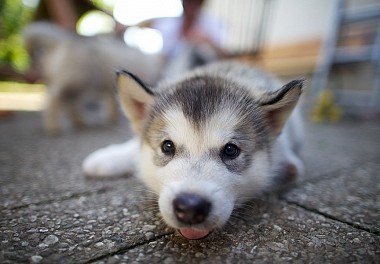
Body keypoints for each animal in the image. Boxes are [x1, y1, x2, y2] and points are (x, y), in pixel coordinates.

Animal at [23, 22, 163, 134]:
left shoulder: (110, 89)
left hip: (76, 85)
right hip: (74, 81)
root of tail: (65, 39)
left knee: (70, 105)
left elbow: (111, 105)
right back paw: (53, 127)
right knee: (53, 101)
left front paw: (111, 119)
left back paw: (79, 123)